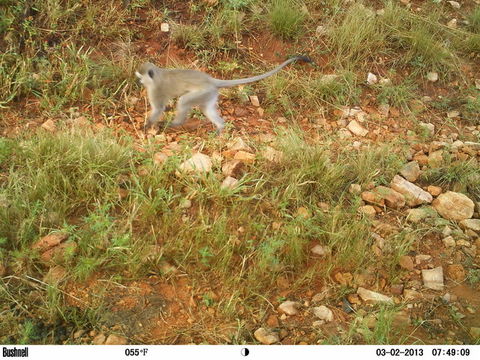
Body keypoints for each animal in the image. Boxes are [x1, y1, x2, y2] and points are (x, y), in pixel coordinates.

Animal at [135, 55, 312, 134]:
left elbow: (158, 109)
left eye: (140, 77)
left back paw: (175, 123)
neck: (157, 75)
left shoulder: (155, 90)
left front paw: (146, 125)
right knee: (207, 109)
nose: (139, 83)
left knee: (184, 101)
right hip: (209, 94)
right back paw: (220, 128)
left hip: (203, 92)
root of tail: (210, 80)